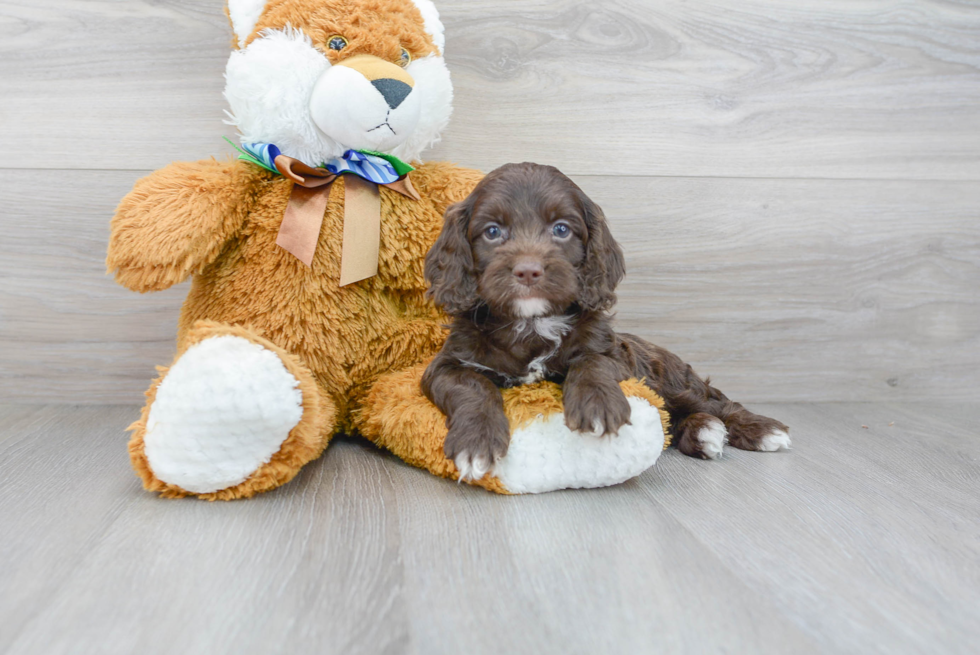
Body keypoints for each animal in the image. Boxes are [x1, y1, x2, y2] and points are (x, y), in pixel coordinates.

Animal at [422, 163, 788, 482]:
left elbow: (592, 363)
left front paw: (597, 405)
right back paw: (704, 432)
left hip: (671, 380)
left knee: (714, 403)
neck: (531, 324)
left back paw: (761, 430)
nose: (528, 271)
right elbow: (473, 385)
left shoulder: (616, 355)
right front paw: (476, 442)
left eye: (561, 229)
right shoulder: (445, 365)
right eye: (493, 232)